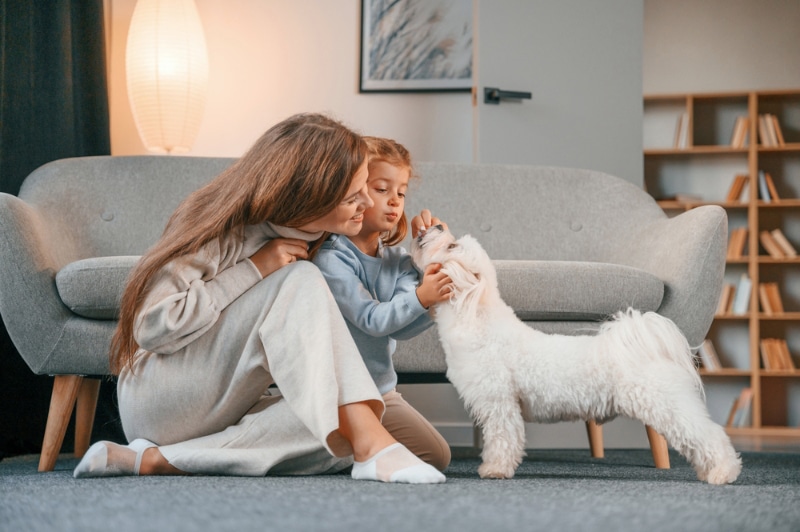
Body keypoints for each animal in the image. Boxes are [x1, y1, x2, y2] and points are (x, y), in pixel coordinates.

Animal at [412, 227, 744, 484]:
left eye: (452, 245)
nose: (435, 226)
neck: (476, 317)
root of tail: (645, 346)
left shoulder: (499, 403)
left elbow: (503, 440)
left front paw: (495, 470)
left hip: (667, 405)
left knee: (709, 435)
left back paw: (723, 473)